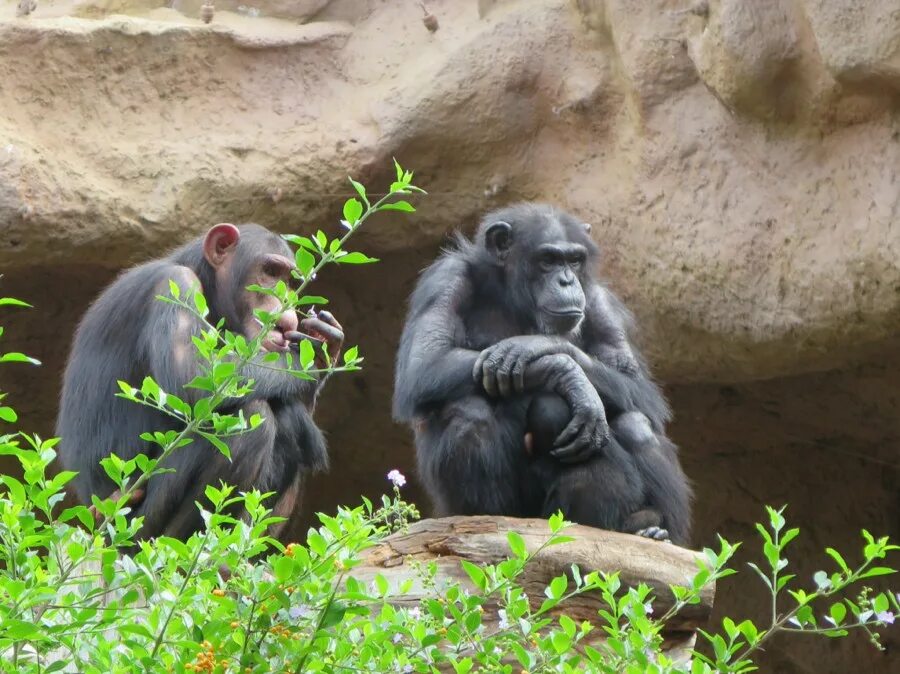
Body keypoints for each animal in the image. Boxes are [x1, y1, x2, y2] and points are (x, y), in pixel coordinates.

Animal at [55, 223, 344, 540]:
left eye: (291, 281)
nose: (287, 311)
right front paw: (312, 357)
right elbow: (194, 376)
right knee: (250, 419)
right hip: (133, 522)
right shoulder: (176, 285)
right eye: (269, 271)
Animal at [390, 202, 692, 544]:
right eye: (548, 260)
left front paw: (542, 347)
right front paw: (566, 373)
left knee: (636, 424)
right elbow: (425, 363)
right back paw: (484, 516)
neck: (511, 296)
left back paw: (653, 529)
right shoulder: (444, 282)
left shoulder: (602, 303)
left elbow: (638, 386)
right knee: (469, 409)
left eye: (574, 260)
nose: (567, 281)